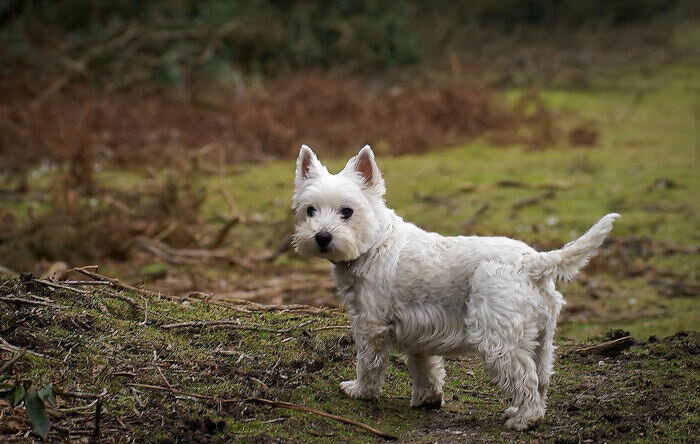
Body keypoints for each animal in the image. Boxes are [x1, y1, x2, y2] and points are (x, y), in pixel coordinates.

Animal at [292, 146, 620, 430]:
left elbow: (368, 362)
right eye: (310, 211)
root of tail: (533, 262)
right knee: (541, 377)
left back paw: (524, 419)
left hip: (498, 338)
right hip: (542, 337)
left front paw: (360, 390)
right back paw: (521, 410)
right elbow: (426, 367)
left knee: (525, 378)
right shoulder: (417, 331)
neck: (373, 244)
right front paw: (428, 398)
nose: (322, 237)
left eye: (347, 211)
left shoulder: (370, 324)